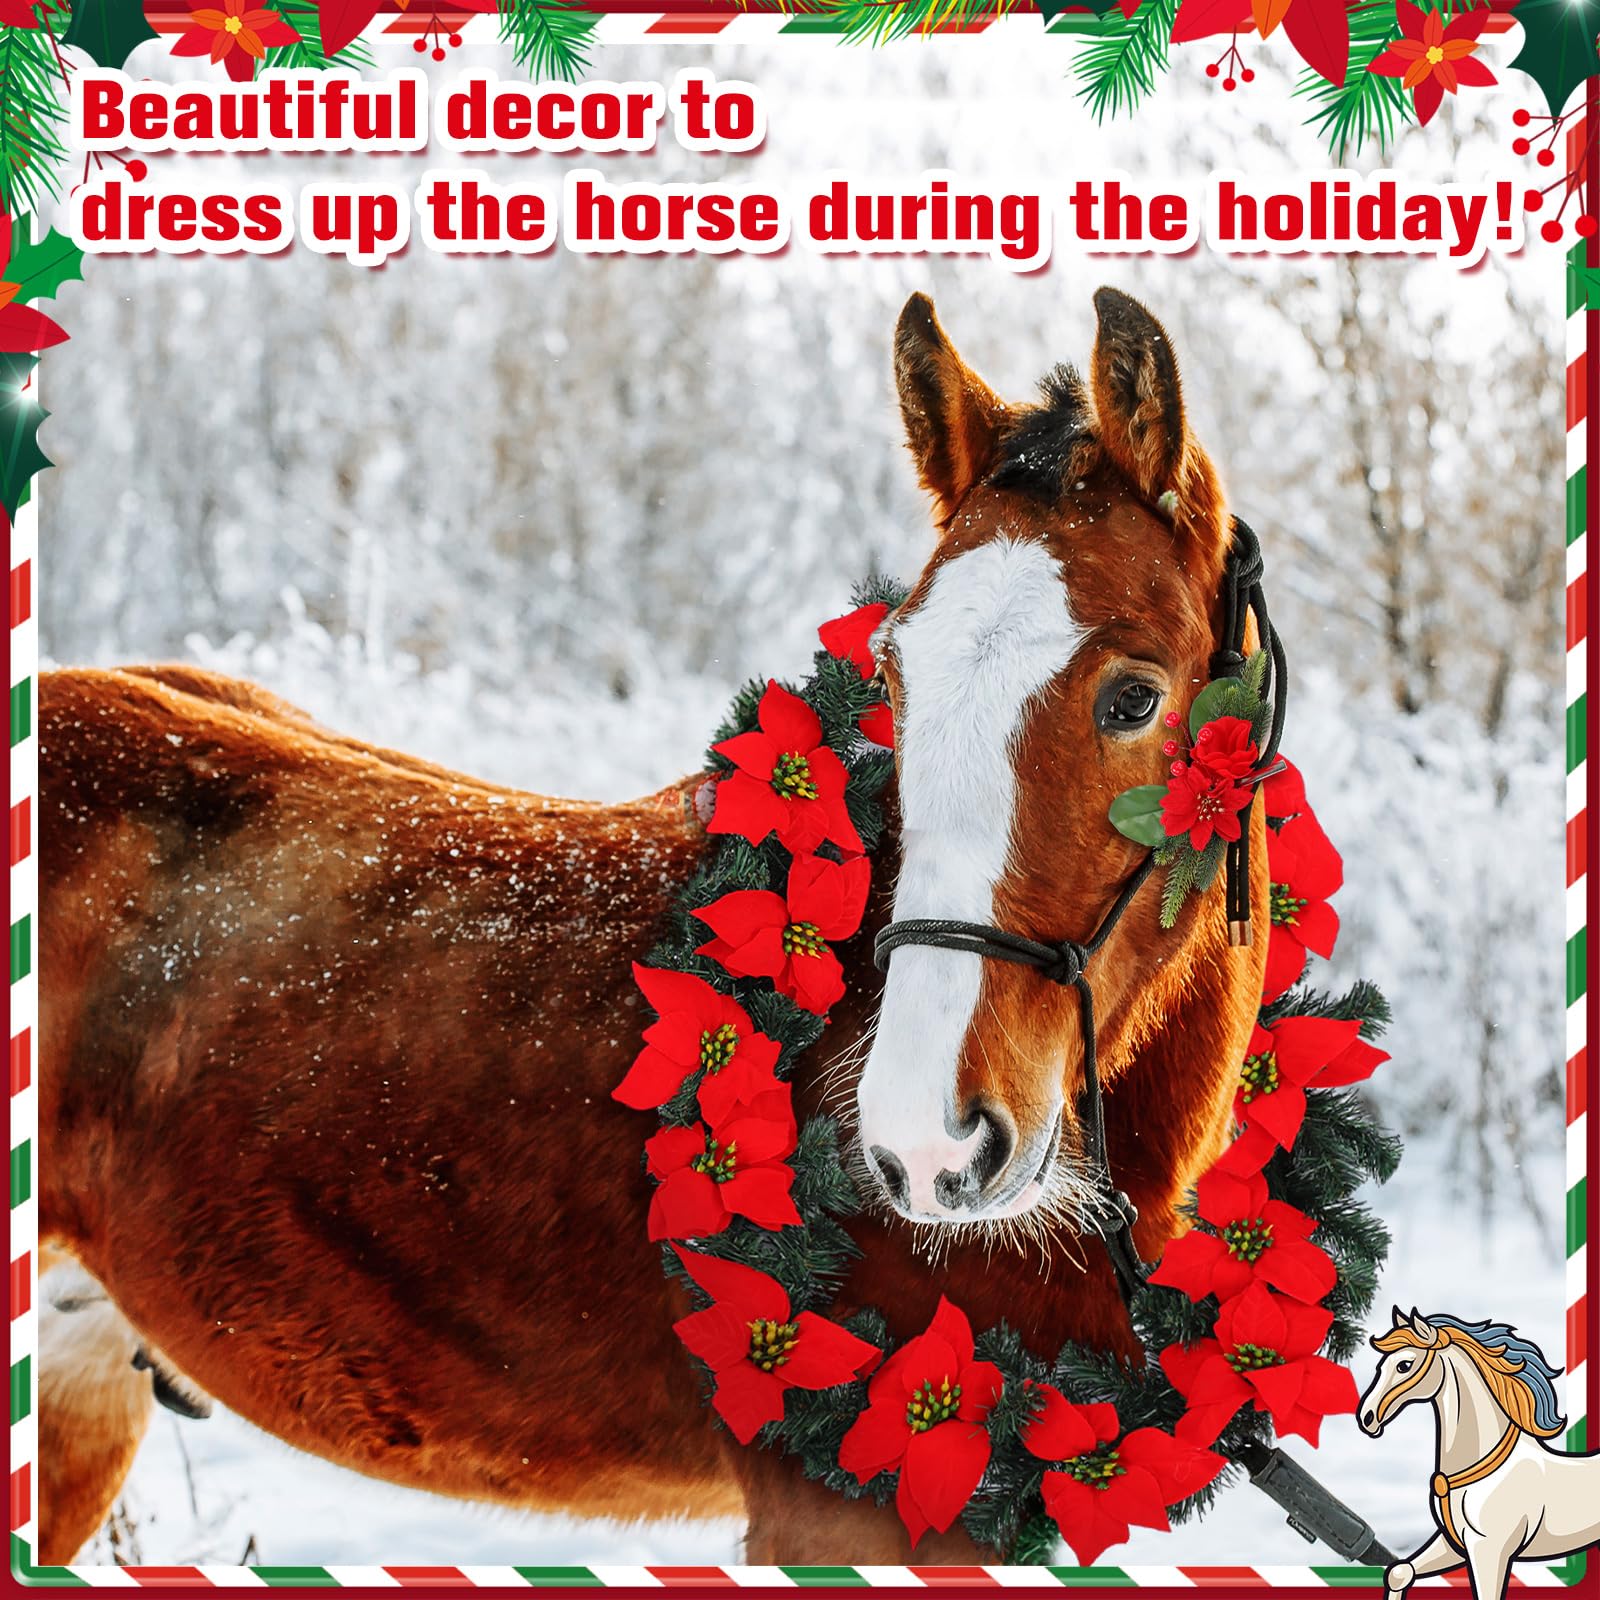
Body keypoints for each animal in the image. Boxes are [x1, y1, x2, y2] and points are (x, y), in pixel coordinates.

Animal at [1358, 1307, 1600, 1600]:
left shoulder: (1490, 1550)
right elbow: (1399, 1572)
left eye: (1404, 1365)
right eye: (1381, 1366)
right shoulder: (1453, 1543)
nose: (1367, 1417)